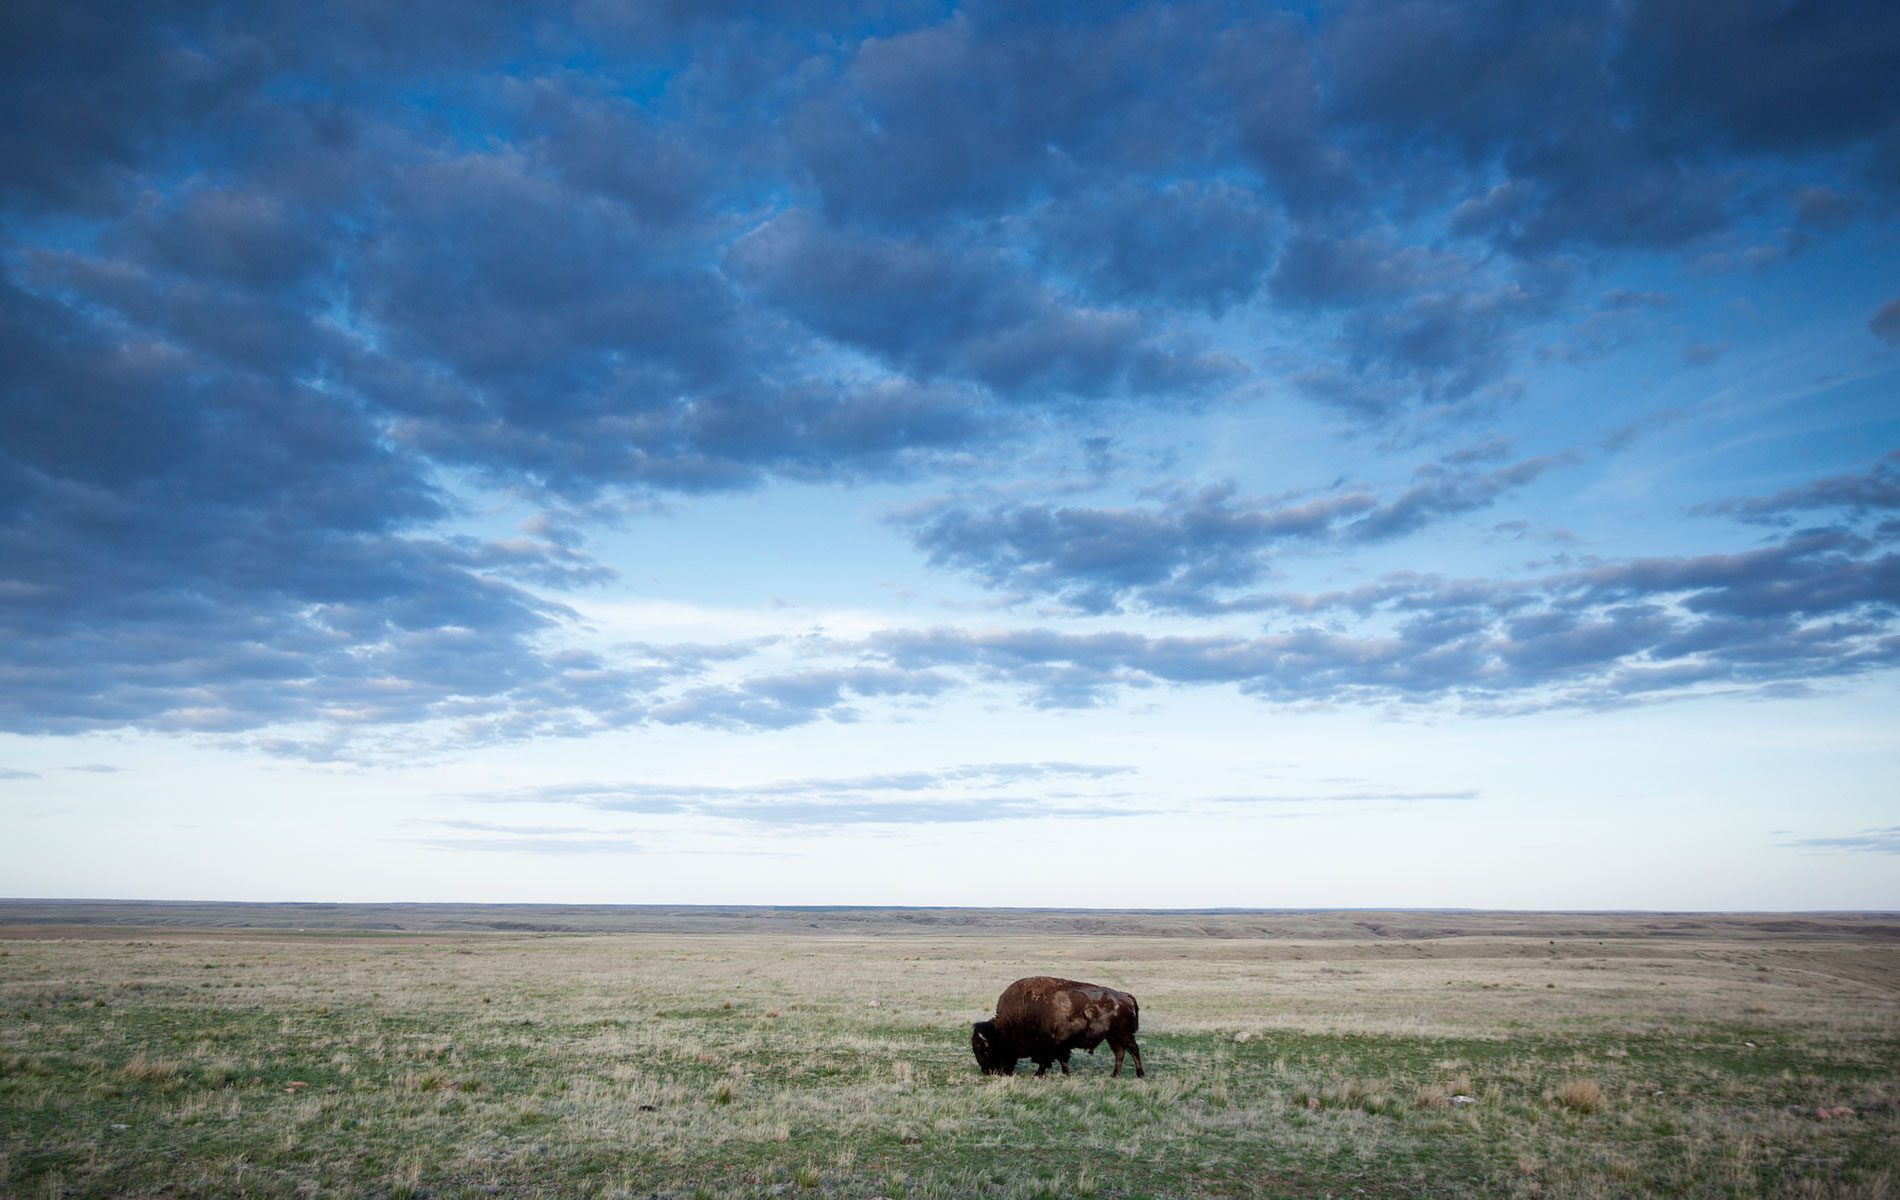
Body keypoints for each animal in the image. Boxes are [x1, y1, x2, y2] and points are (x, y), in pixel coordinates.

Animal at [971, 976, 1144, 1078]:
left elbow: (1047, 1061)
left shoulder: (1049, 1046)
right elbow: (1062, 1060)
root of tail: (1124, 995)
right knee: (1120, 1052)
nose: (987, 1072)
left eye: (985, 1050)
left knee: (1133, 1049)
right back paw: (1114, 1075)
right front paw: (1066, 1074)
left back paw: (1139, 1074)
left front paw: (1038, 1074)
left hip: (1123, 1034)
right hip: (1112, 1036)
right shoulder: (1060, 1046)